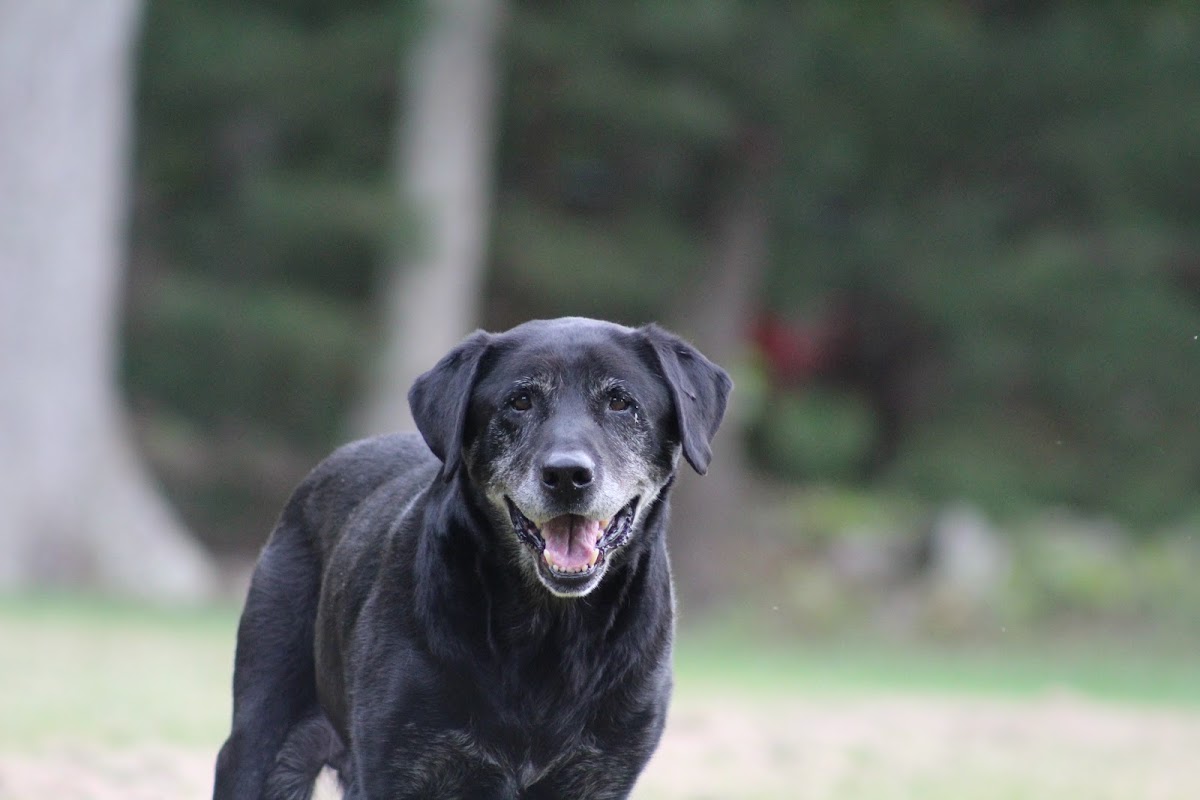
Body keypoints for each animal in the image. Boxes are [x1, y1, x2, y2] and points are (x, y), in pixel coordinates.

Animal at [216, 319, 729, 800]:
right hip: (260, 739)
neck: (548, 630)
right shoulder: (397, 769)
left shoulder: (600, 775)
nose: (567, 475)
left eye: (620, 402)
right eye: (519, 402)